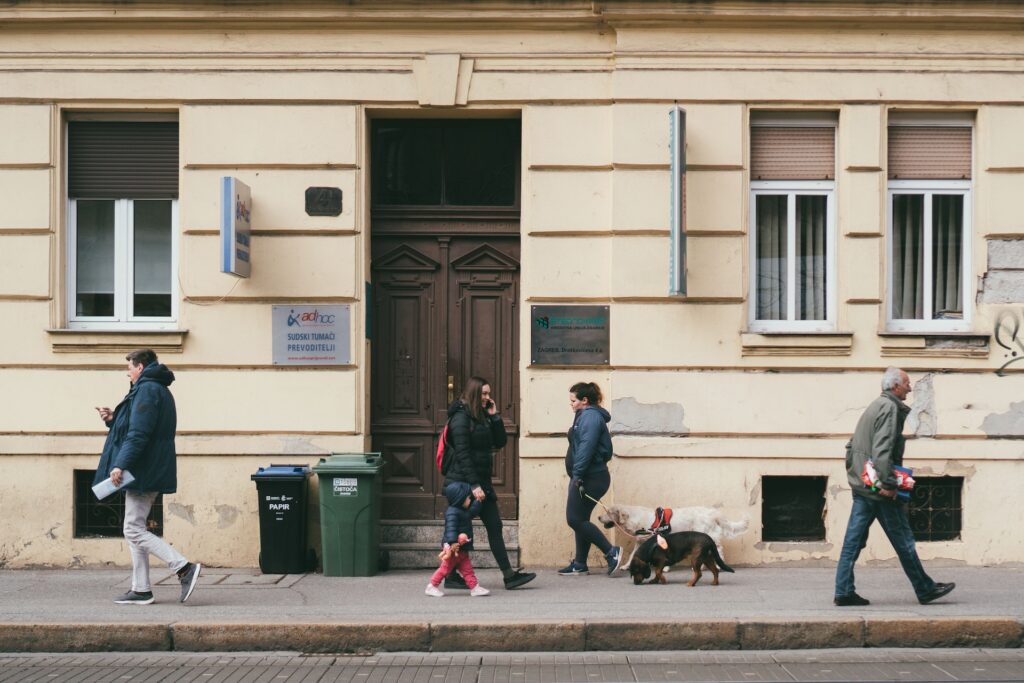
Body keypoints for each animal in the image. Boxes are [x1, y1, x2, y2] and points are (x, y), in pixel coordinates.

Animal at [598, 501, 749, 561]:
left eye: (609, 512)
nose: (599, 517)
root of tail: (713, 513)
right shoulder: (641, 542)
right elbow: (632, 555)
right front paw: (625, 566)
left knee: (718, 550)